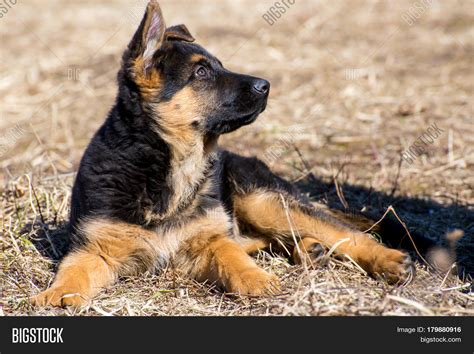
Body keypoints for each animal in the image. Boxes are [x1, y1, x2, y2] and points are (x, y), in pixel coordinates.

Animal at [31, 0, 414, 306]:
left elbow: (233, 256)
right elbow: (72, 271)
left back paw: (386, 260)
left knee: (346, 232)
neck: (174, 164)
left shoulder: (212, 239)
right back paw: (310, 250)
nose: (266, 85)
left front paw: (259, 280)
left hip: (262, 201)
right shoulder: (93, 249)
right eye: (201, 72)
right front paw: (56, 295)